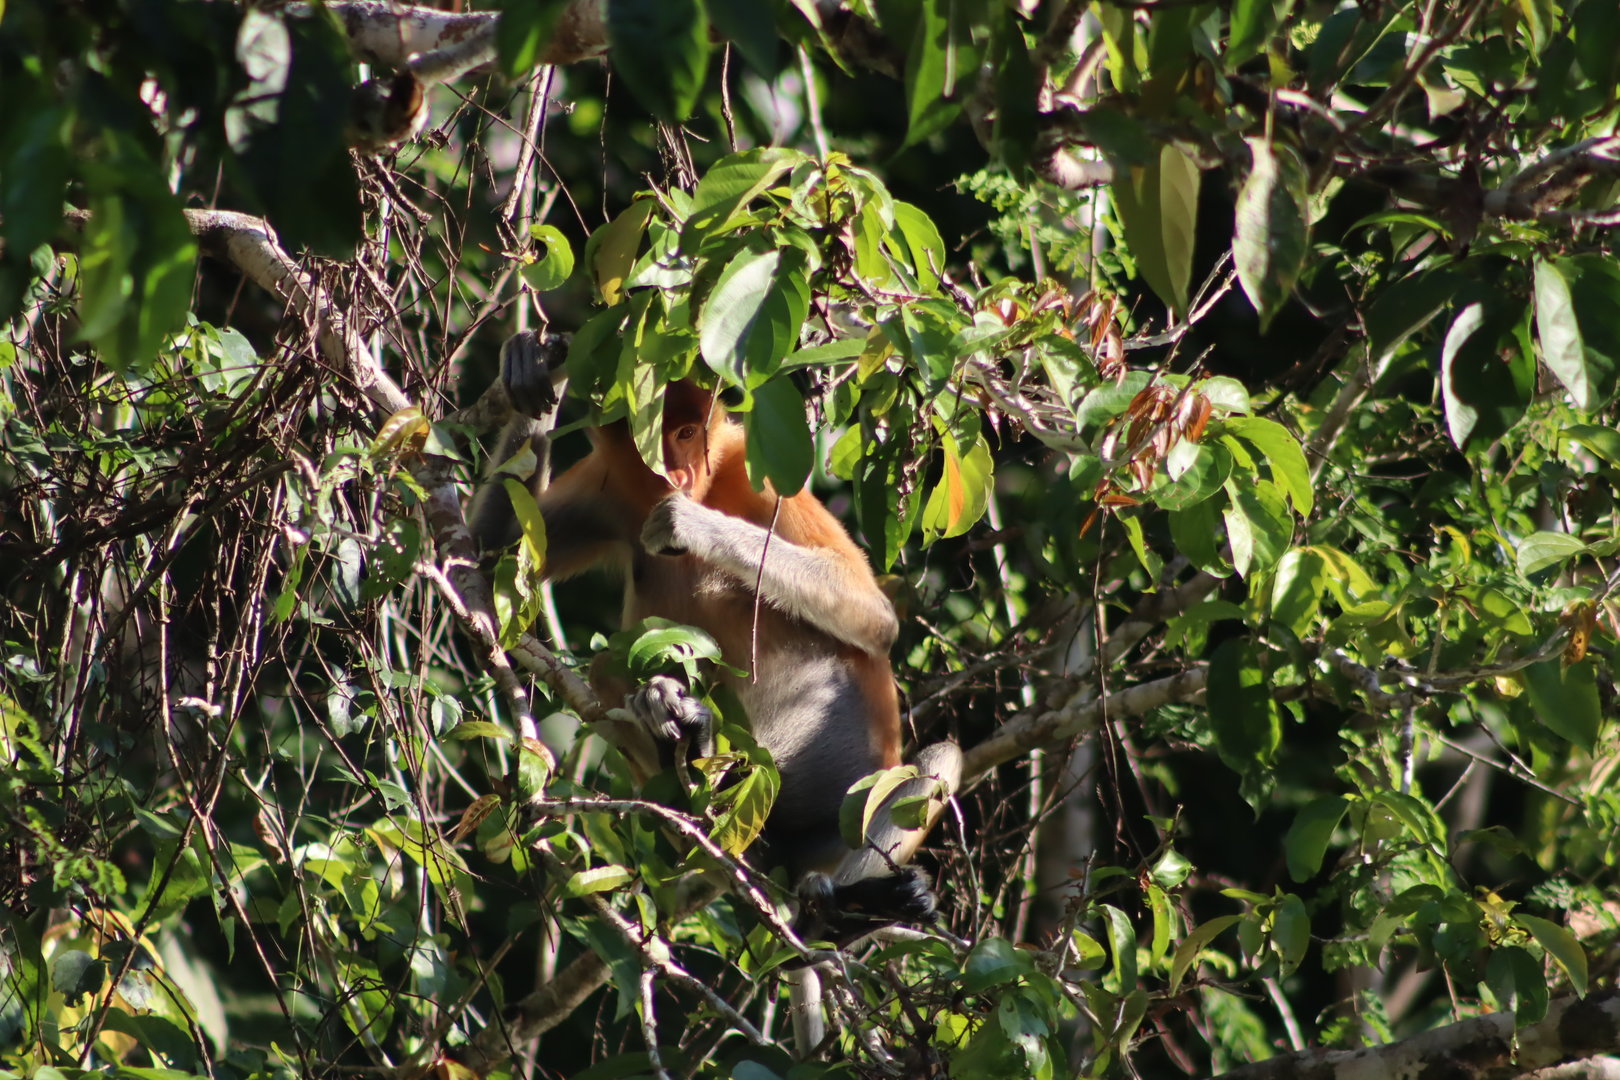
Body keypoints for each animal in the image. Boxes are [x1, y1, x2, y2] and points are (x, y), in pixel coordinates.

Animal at [470, 331, 961, 940]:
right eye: (654, 440)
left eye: (687, 434)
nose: (678, 477)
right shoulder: (606, 485)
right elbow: (487, 558)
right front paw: (532, 367)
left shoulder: (764, 477)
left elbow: (874, 617)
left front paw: (688, 523)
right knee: (610, 667)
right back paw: (688, 749)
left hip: (842, 827)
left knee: (941, 757)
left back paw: (847, 911)